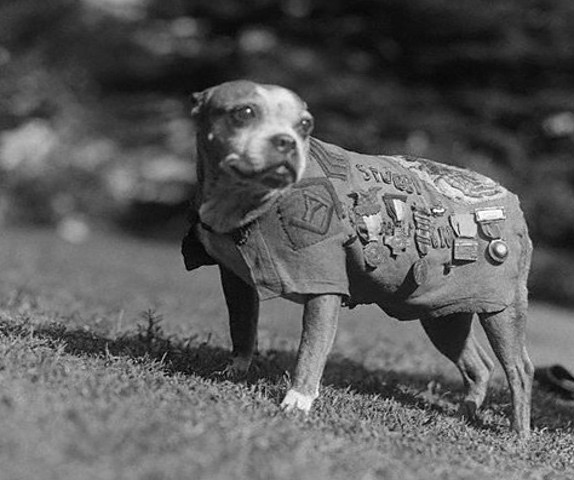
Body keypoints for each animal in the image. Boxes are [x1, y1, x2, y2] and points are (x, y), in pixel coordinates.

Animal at [183, 80, 536, 436]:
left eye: (305, 125)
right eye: (244, 112)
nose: (286, 141)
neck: (247, 202)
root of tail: (511, 199)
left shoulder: (324, 288)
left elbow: (310, 349)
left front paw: (297, 401)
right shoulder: (235, 280)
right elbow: (242, 328)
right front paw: (234, 372)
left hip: (502, 312)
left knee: (520, 369)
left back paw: (518, 434)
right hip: (443, 314)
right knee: (479, 365)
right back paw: (465, 413)